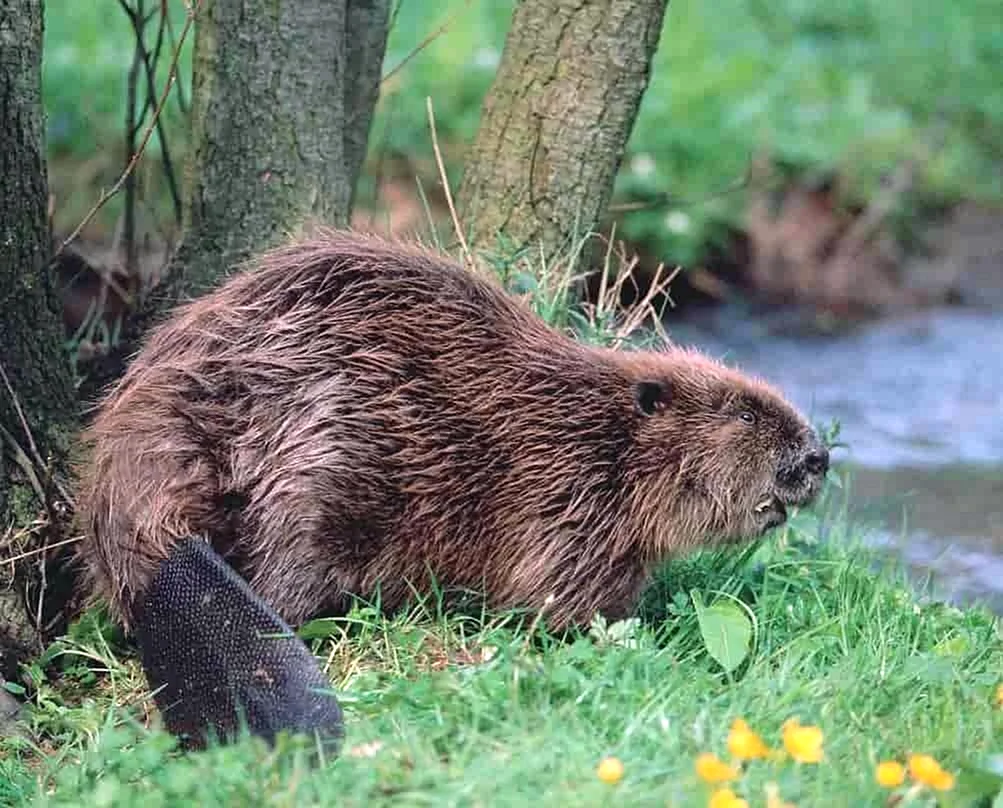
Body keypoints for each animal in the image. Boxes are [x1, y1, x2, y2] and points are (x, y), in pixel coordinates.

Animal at [74, 230, 830, 749]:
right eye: (744, 413)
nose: (818, 457)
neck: (595, 426)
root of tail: (157, 545)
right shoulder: (567, 499)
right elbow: (560, 602)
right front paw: (633, 637)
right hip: (315, 484)